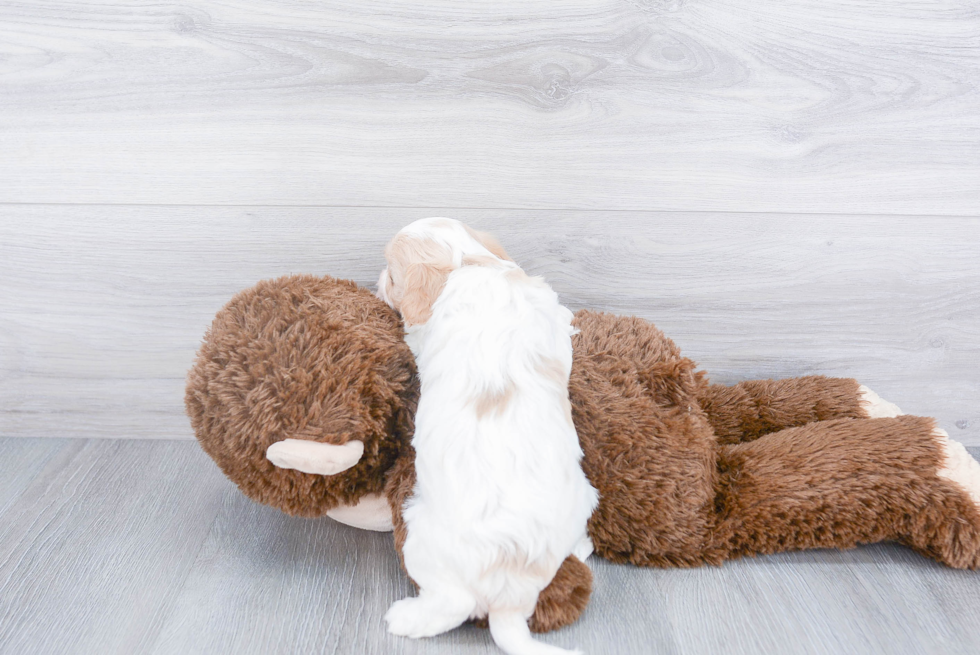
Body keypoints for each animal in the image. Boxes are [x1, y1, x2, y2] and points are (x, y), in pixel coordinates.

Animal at [378, 218, 596, 652]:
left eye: (391, 275)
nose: (377, 280)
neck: (467, 262)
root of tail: (512, 596)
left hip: (419, 535)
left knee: (454, 604)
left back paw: (406, 618)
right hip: (584, 499)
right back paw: (582, 548)